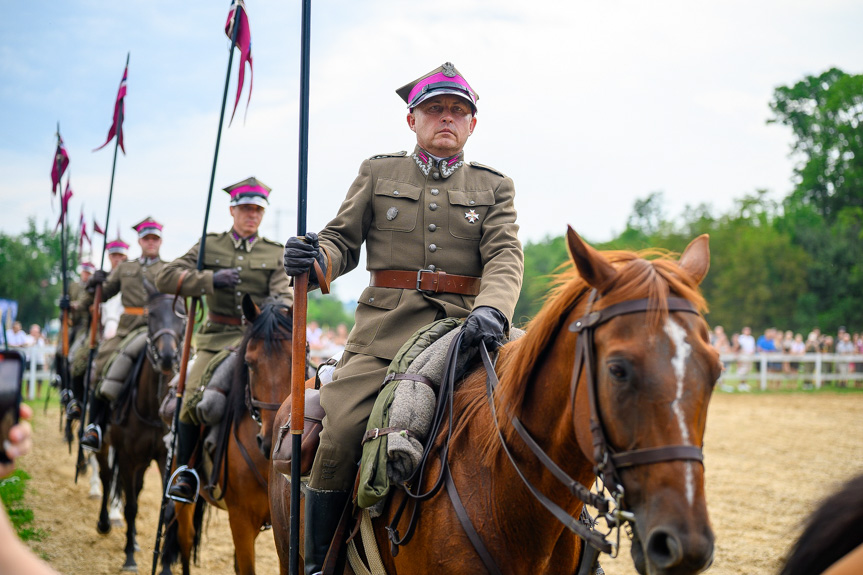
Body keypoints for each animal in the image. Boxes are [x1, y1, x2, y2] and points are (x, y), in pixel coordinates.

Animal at [95, 280, 185, 572]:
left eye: (182, 316)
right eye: (151, 315)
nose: (167, 357)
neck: (152, 408)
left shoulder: (165, 459)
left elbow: (167, 510)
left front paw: (164, 566)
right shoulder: (126, 456)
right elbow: (131, 506)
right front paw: (130, 559)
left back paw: (132, 540)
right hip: (106, 446)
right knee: (106, 477)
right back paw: (105, 523)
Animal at [162, 296, 294, 575]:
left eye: (294, 361)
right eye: (250, 364)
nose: (269, 442)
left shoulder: (282, 533)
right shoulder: (241, 521)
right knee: (186, 539)